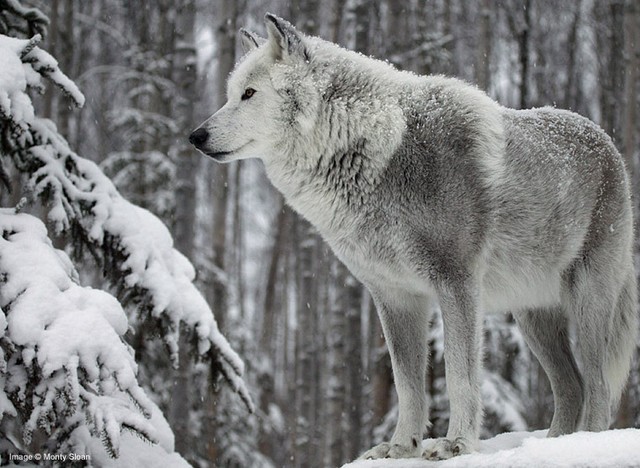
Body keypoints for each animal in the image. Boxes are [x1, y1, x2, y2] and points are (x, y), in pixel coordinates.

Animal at [189, 14, 638, 460]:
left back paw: (585, 443)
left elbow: (459, 374)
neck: (373, 149)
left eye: (249, 93)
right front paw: (400, 445)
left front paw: (457, 443)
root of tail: (608, 144)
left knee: (597, 386)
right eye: (229, 95)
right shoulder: (394, 296)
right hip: (532, 318)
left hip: (586, 303)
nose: (195, 136)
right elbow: (407, 383)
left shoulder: (456, 283)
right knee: (571, 386)